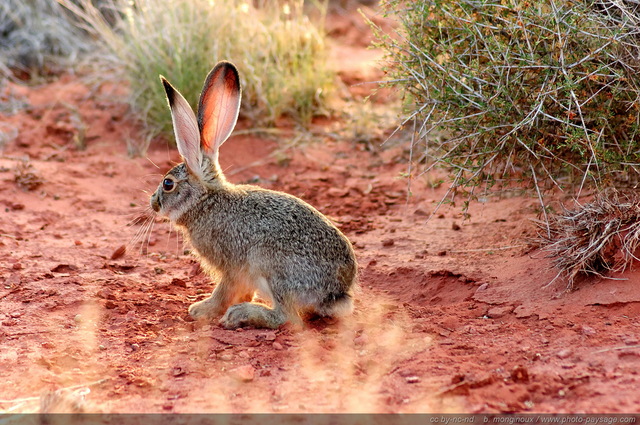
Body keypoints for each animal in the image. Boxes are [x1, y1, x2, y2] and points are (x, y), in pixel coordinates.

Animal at [151, 61, 360, 330]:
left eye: (168, 184)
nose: (154, 203)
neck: (206, 202)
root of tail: (336, 294)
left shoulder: (232, 266)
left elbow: (224, 291)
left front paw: (201, 309)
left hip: (272, 267)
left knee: (286, 317)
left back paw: (241, 315)